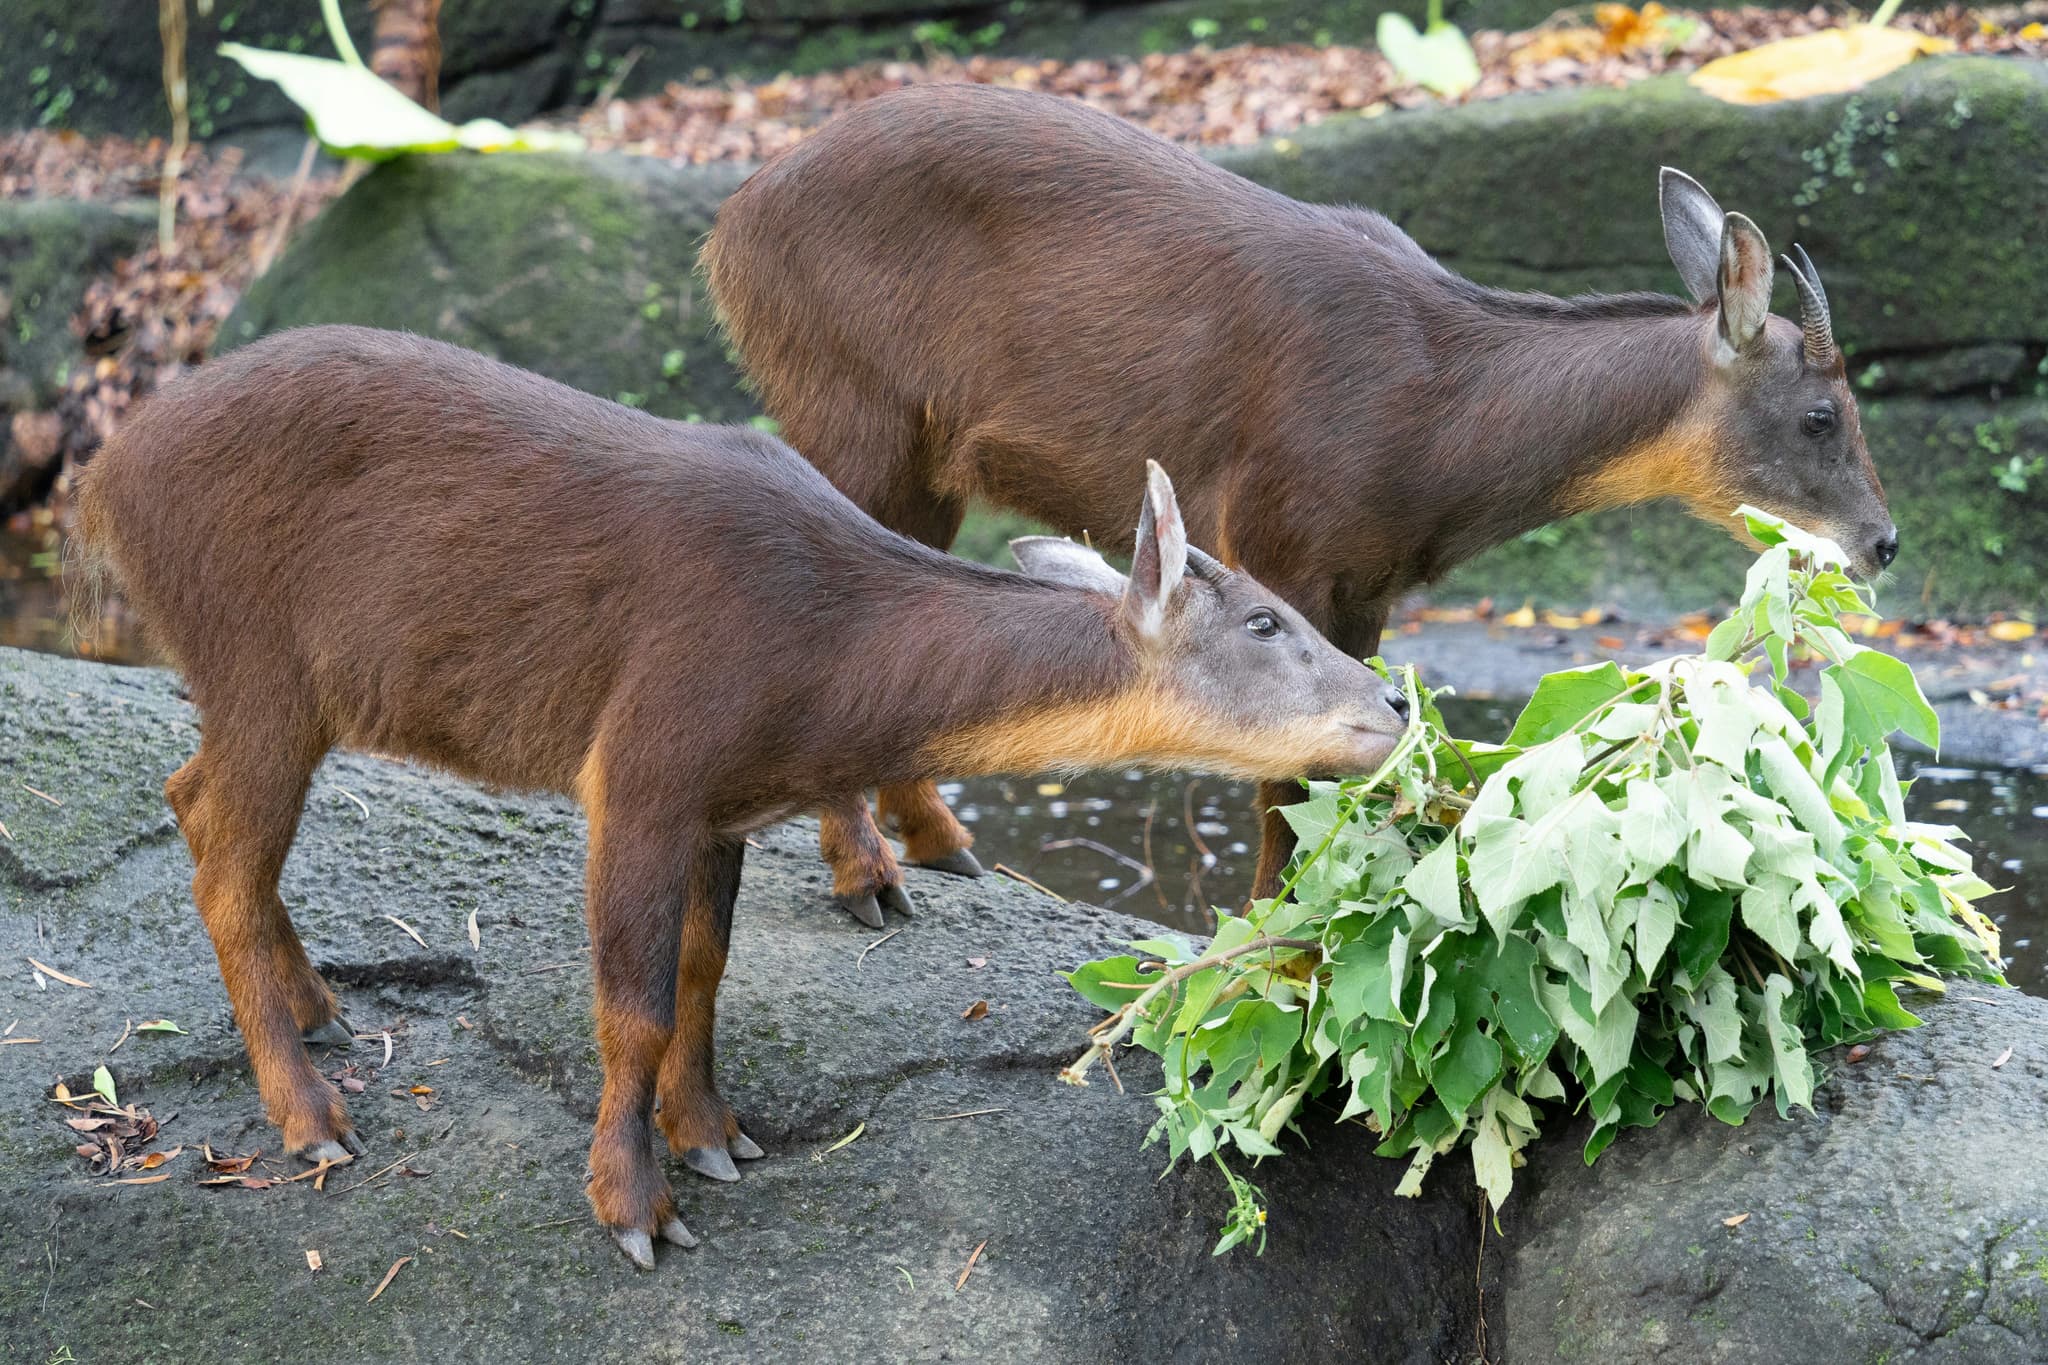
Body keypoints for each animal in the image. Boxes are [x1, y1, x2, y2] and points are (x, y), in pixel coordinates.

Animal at [72, 325, 1410, 1267]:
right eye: (1264, 620)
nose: (1394, 706)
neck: (822, 656)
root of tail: (100, 485)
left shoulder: (723, 807)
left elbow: (704, 976)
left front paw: (714, 1139)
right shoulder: (641, 768)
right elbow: (631, 1005)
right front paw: (632, 1209)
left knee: (191, 800)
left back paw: (321, 1012)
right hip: (257, 661)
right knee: (220, 854)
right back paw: (313, 1119)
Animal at [703, 81, 1893, 910]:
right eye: (1820, 413)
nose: (1881, 542)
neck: (1440, 421)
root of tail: (726, 234)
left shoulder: (1367, 584)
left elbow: (1345, 749)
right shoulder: (1279, 536)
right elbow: (1285, 773)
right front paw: (1277, 940)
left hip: (924, 456)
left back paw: (945, 848)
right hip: (852, 407)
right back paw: (870, 879)